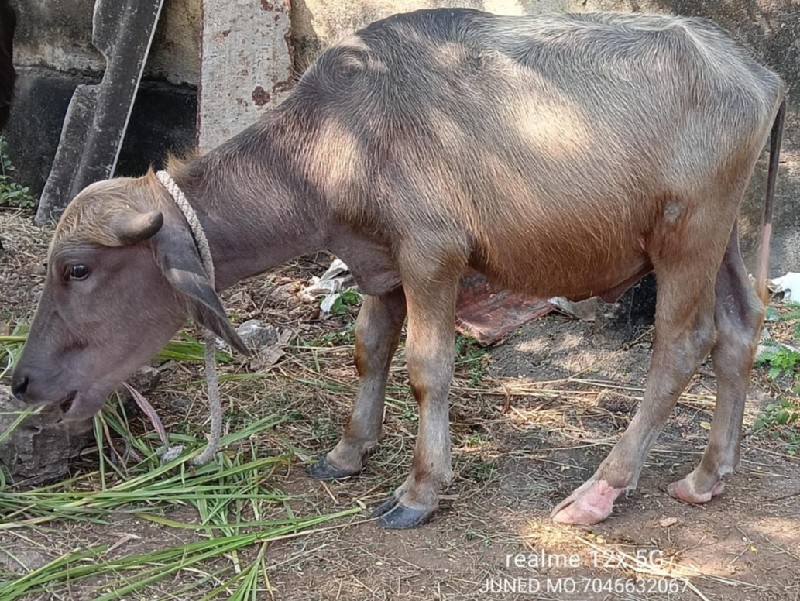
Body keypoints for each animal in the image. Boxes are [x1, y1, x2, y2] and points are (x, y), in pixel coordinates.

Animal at [14, 8, 788, 524]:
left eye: (76, 269)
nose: (21, 380)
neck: (334, 138)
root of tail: (759, 73)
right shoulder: (379, 263)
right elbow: (368, 349)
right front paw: (347, 451)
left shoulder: (431, 255)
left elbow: (426, 368)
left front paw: (419, 488)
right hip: (721, 235)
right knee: (740, 327)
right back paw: (707, 475)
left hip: (687, 236)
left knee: (681, 346)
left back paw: (601, 489)